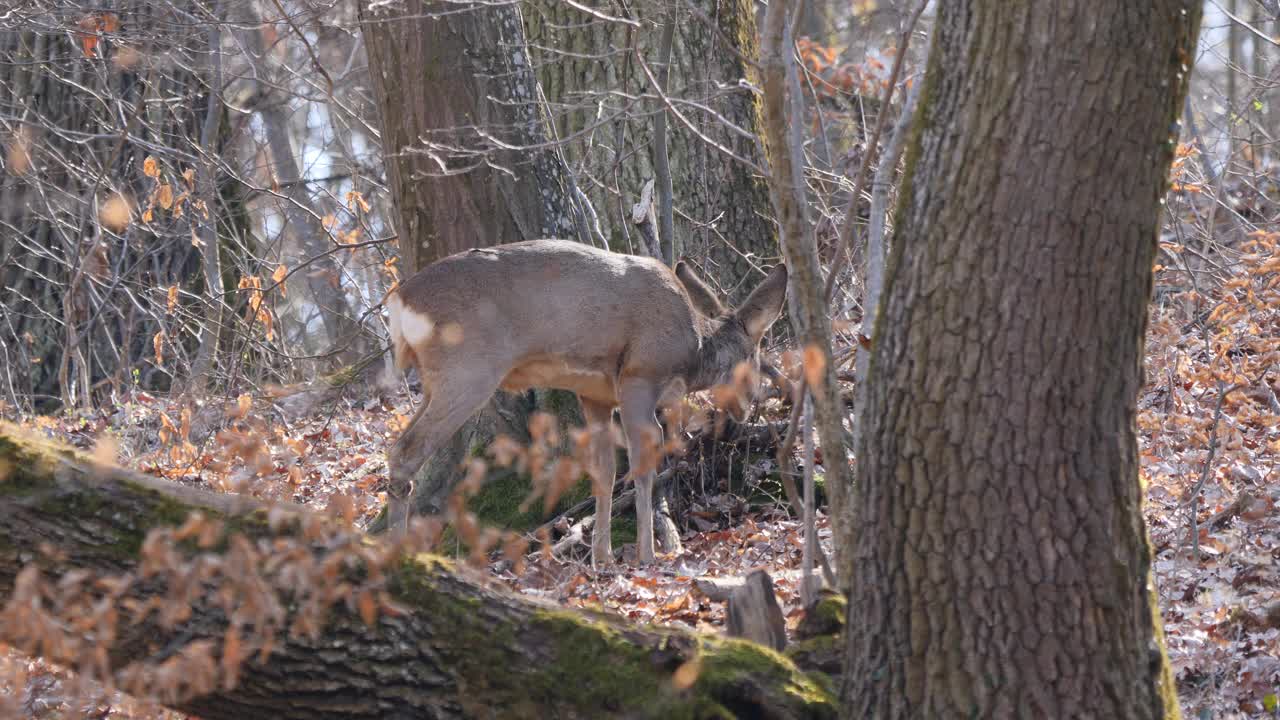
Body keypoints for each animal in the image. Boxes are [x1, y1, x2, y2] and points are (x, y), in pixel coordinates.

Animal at [381, 240, 788, 566]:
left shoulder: (594, 393)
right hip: (468, 369)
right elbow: (642, 465)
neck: (693, 351)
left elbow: (604, 470)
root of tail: (400, 302)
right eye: (754, 358)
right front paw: (647, 555)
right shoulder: (640, 376)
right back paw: (397, 556)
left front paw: (602, 557)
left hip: (437, 380)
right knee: (405, 451)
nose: (747, 407)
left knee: (400, 448)